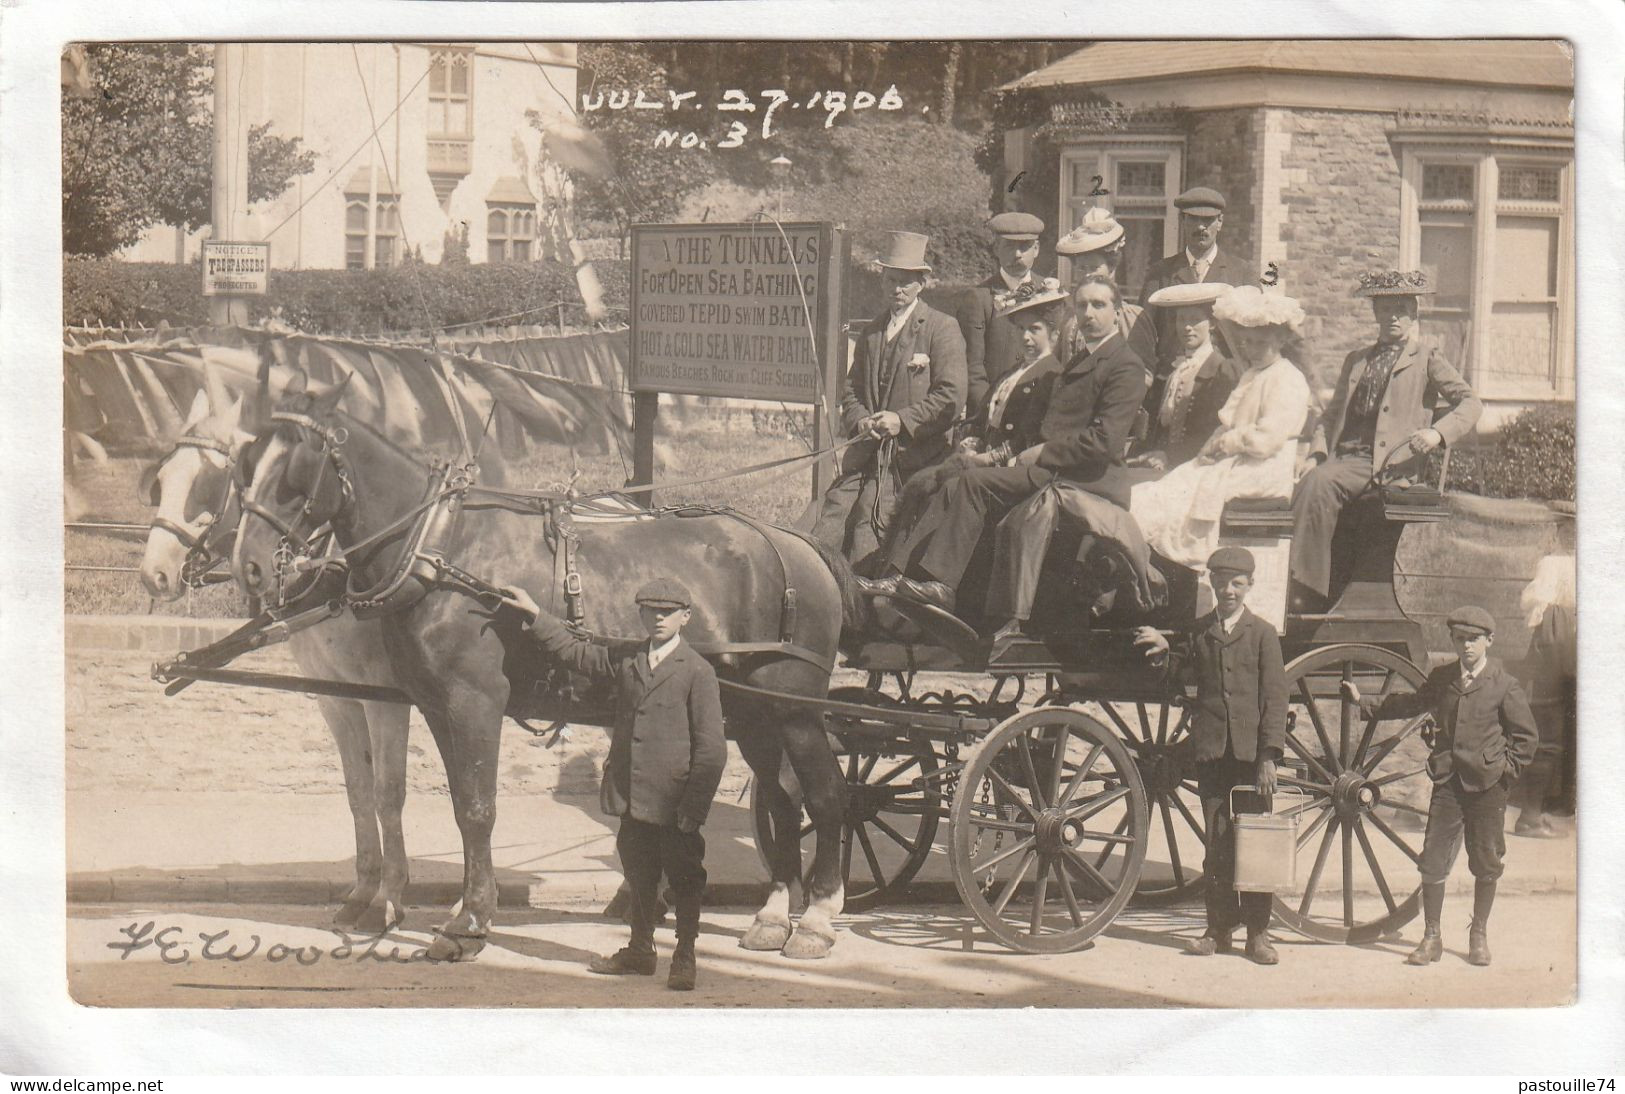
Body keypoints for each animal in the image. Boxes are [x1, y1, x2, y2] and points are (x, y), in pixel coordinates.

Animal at [234, 380, 858, 962]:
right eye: (246, 462)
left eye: (295, 467)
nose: (250, 566)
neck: (442, 548)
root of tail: (799, 545)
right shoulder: (436, 705)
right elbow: (458, 806)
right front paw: (463, 909)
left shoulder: (473, 701)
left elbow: (477, 809)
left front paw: (469, 923)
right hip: (752, 713)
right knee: (784, 801)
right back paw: (772, 915)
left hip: (794, 709)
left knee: (828, 796)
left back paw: (819, 916)